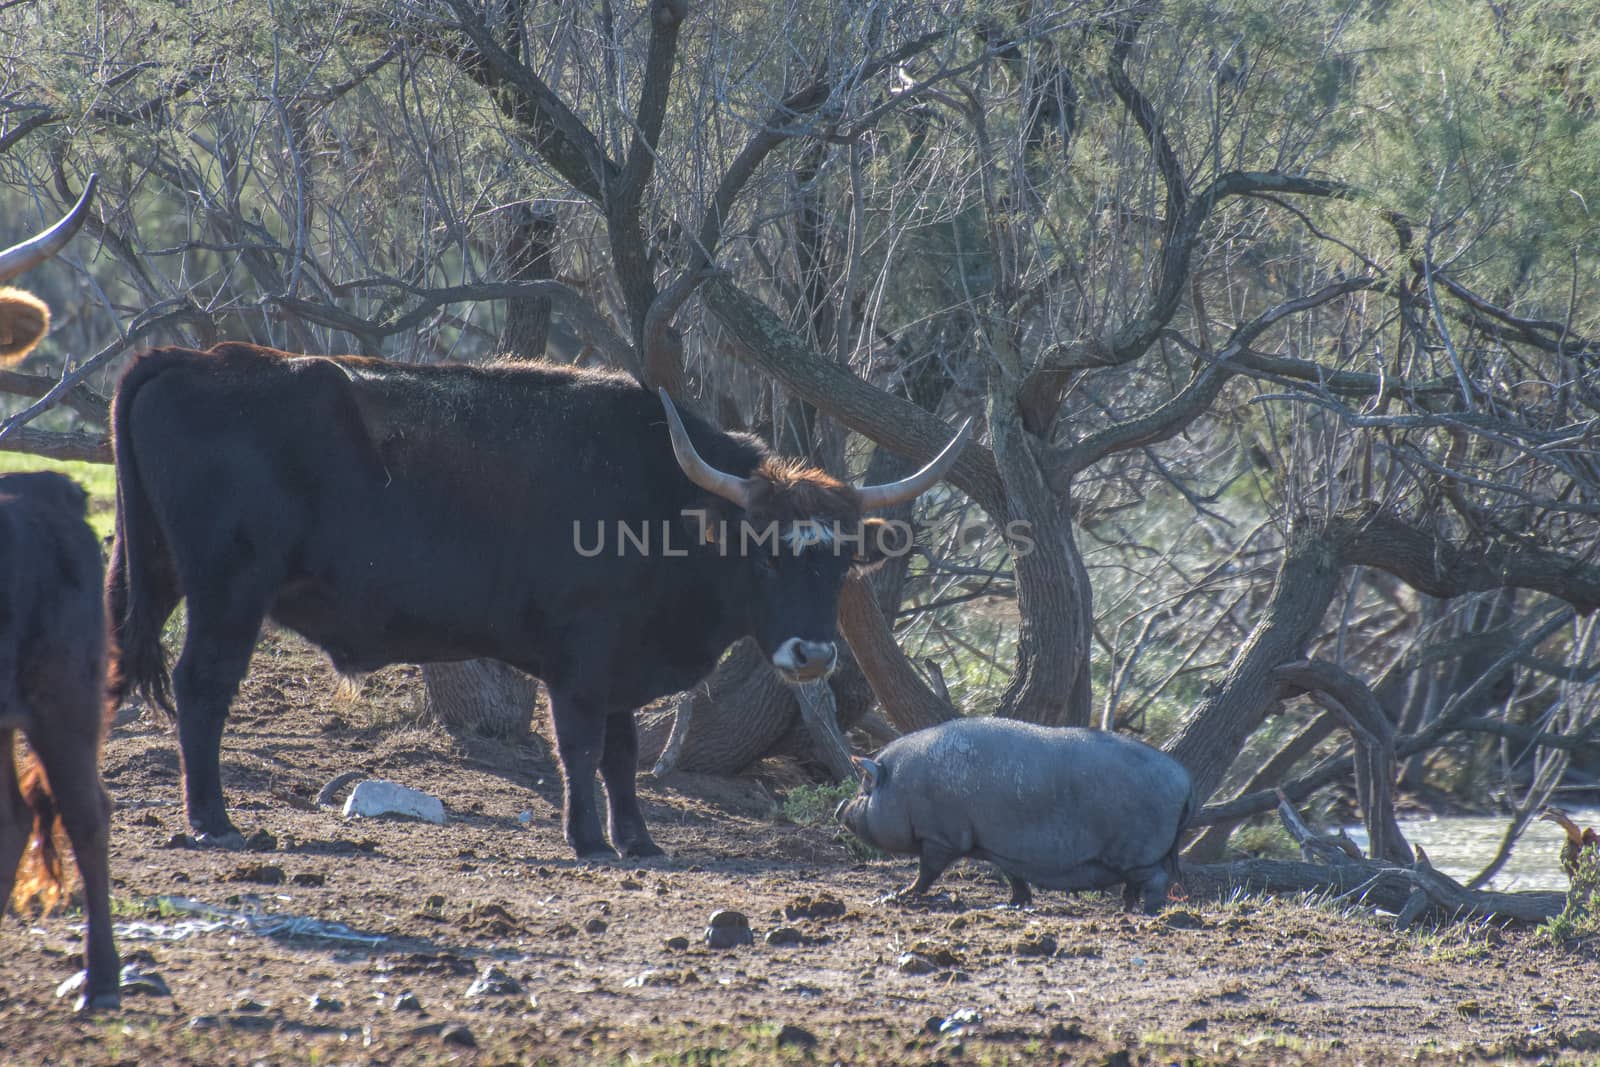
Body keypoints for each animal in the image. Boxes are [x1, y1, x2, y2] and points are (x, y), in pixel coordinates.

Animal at [112, 347, 966, 863]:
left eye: (843, 559)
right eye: (763, 551)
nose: (813, 655)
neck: (659, 498)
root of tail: (197, 357)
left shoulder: (623, 667)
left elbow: (623, 755)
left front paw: (638, 839)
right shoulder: (581, 661)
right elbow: (581, 749)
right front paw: (588, 839)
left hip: (157, 574)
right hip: (227, 593)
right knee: (202, 688)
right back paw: (213, 819)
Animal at [838, 716, 1190, 908]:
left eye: (865, 787)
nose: (842, 811)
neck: (903, 787)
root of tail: (1185, 779)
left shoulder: (941, 836)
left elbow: (927, 871)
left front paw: (897, 895)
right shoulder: (1001, 847)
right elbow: (1013, 875)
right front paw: (1012, 904)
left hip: (1135, 851)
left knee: (1156, 878)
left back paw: (1145, 912)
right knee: (1140, 883)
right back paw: (1127, 908)